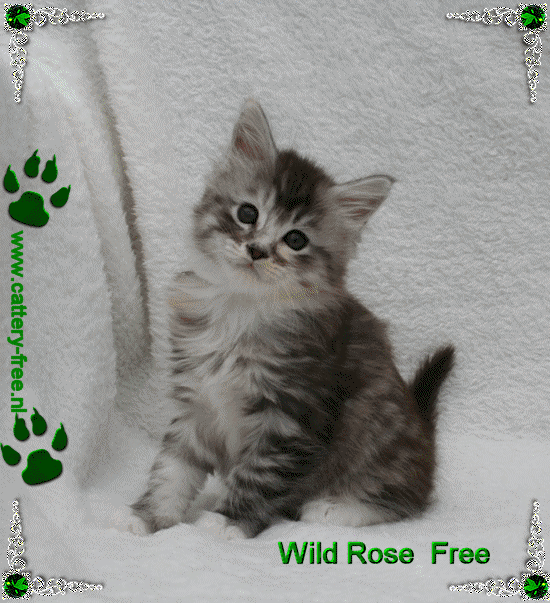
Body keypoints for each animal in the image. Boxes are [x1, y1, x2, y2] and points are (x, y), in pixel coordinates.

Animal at [129, 99, 454, 539]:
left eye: (295, 239)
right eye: (247, 213)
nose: (257, 250)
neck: (242, 308)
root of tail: (425, 436)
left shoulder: (289, 416)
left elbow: (259, 475)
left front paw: (227, 521)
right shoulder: (196, 400)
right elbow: (173, 467)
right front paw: (149, 516)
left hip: (379, 436)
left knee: (405, 501)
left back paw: (334, 508)